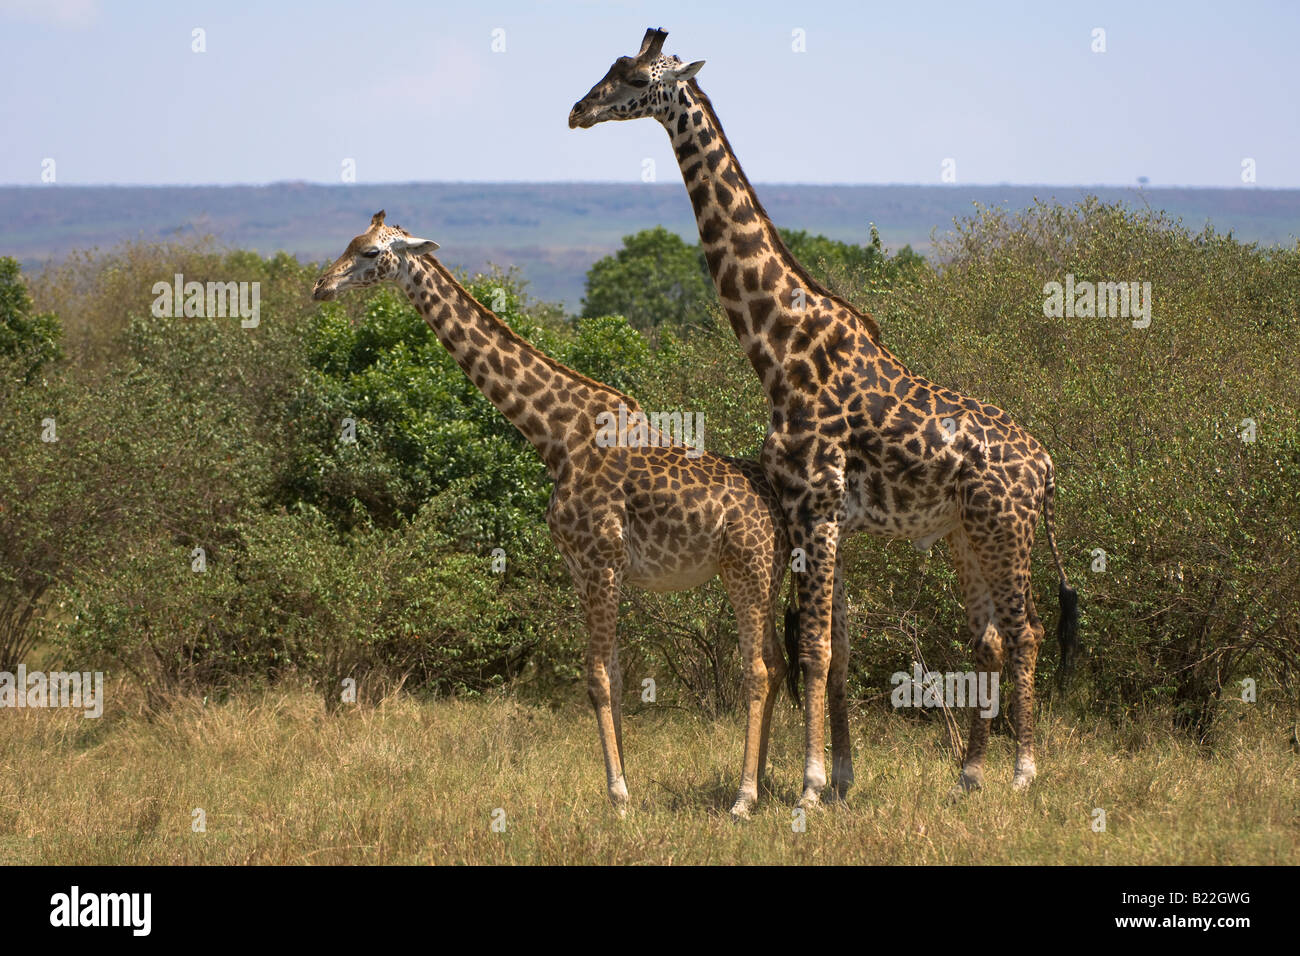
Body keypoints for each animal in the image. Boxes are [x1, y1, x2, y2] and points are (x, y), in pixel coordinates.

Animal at [312, 211, 794, 817]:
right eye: (349, 243)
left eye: (372, 253)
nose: (320, 286)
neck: (553, 435)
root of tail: (781, 507)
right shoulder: (581, 567)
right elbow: (614, 675)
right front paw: (623, 787)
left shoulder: (601, 560)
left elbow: (597, 678)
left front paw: (617, 796)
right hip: (768, 574)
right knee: (776, 663)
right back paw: (764, 783)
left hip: (745, 567)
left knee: (757, 669)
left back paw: (744, 797)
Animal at [570, 29, 1081, 805]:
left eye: (631, 76)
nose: (577, 111)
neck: (777, 345)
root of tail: (1047, 465)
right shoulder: (820, 511)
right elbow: (835, 649)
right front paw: (840, 778)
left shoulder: (814, 501)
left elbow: (812, 646)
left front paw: (809, 785)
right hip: (965, 534)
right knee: (989, 636)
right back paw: (969, 774)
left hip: (1007, 529)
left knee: (1025, 632)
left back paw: (1023, 773)